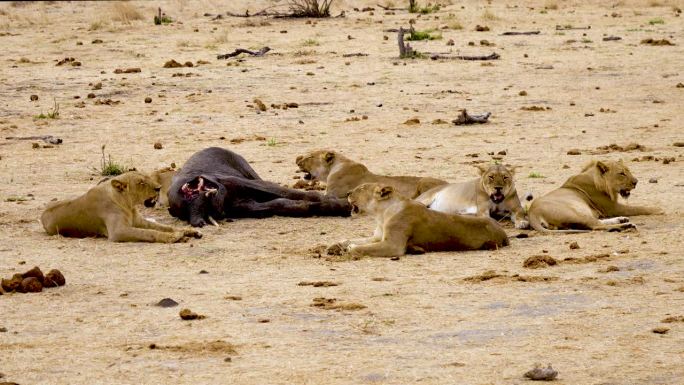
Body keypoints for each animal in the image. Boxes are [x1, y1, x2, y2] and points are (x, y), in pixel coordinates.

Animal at [40, 172, 202, 243]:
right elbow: (148, 233)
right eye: (141, 183)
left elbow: (164, 227)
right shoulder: (118, 232)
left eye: (147, 177)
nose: (159, 188)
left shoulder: (139, 221)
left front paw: (188, 231)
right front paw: (174, 237)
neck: (129, 205)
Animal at [326, 182, 508, 256]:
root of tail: (504, 232)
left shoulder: (393, 246)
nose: (348, 193)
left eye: (362, 188)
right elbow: (353, 239)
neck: (381, 215)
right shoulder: (377, 238)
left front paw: (348, 249)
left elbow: (362, 248)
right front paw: (335, 245)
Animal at [528, 159, 664, 231]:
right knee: (595, 226)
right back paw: (626, 225)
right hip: (573, 213)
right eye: (621, 173)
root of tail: (532, 213)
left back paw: (622, 220)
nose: (636, 182)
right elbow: (638, 208)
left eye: (628, 171)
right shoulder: (613, 208)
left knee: (597, 222)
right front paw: (658, 209)